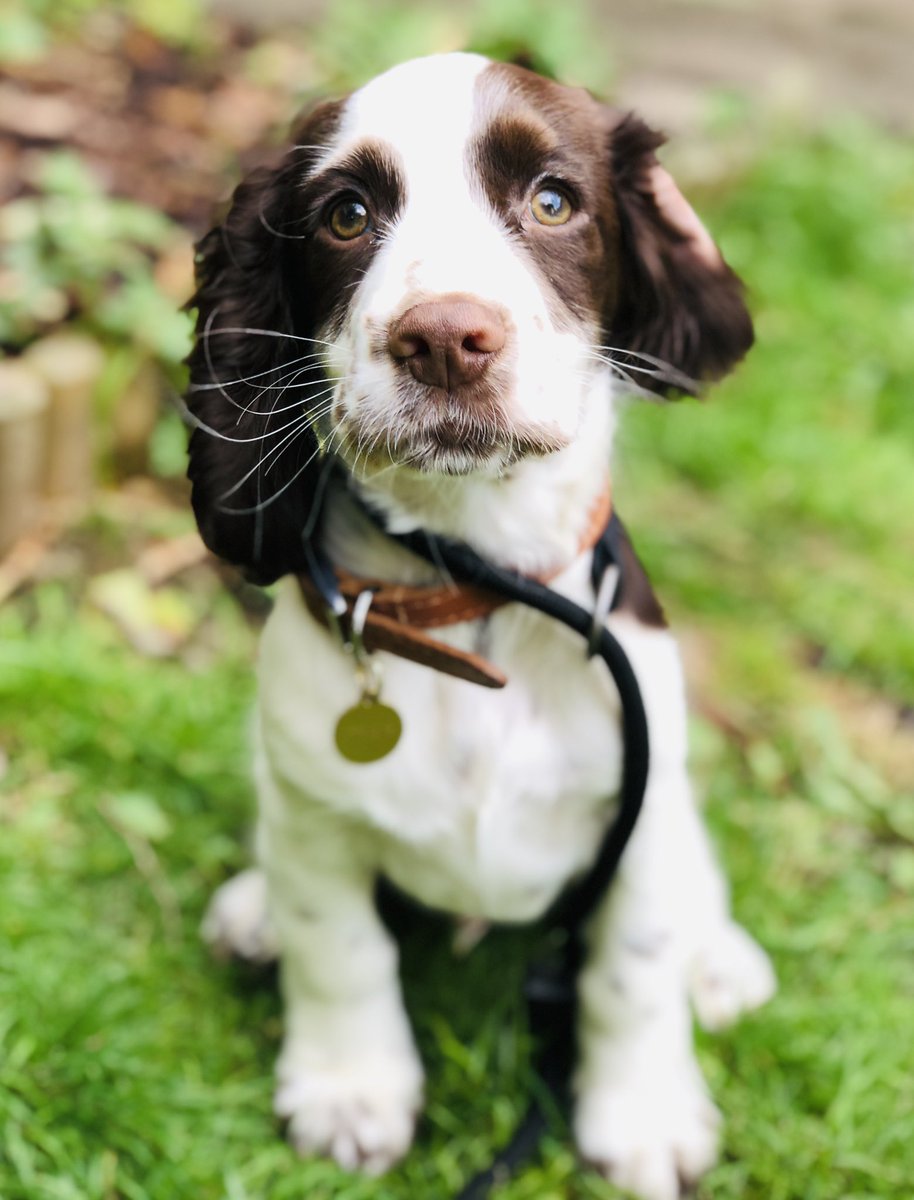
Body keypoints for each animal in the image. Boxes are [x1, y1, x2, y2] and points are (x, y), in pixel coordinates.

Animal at [188, 51, 772, 1195]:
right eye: (345, 215)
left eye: (551, 201)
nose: (444, 341)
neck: (478, 595)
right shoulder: (314, 806)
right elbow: (339, 946)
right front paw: (350, 1092)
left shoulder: (637, 803)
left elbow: (633, 966)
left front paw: (641, 1117)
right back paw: (253, 911)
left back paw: (721, 961)